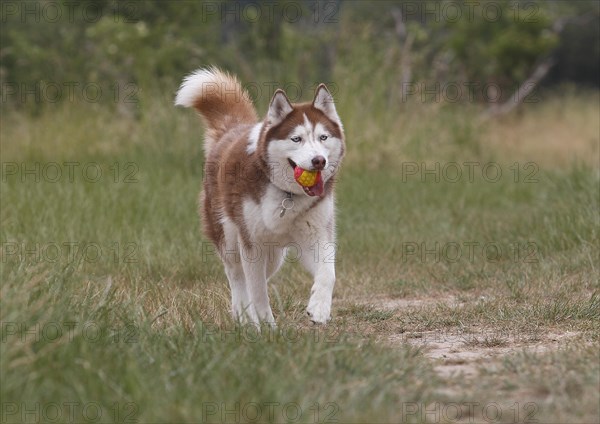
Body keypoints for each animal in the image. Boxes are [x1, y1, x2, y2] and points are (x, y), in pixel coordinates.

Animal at [173, 67, 344, 324]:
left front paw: (320, 308)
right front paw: (265, 325)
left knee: (261, 275)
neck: (287, 195)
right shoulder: (252, 245)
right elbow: (257, 291)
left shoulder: (316, 235)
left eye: (323, 137)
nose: (318, 161)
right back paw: (244, 318)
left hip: (274, 256)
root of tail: (232, 129)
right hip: (230, 239)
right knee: (237, 278)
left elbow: (328, 273)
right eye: (296, 139)